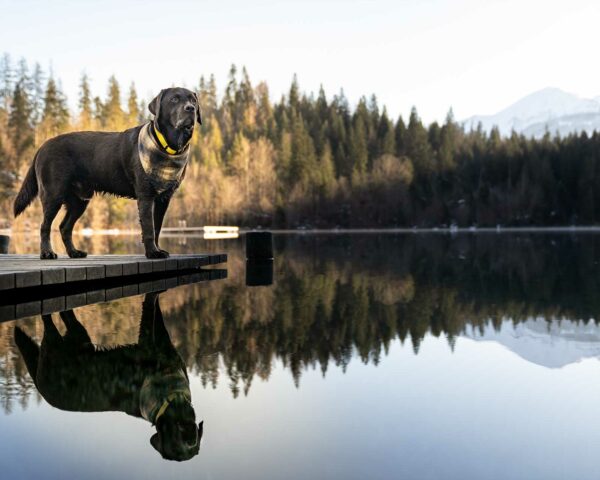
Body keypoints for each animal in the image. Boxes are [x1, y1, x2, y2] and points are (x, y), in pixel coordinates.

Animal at [12, 87, 202, 258]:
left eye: (193, 100)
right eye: (174, 99)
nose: (190, 109)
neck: (167, 147)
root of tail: (42, 146)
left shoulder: (163, 199)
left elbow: (157, 227)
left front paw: (157, 249)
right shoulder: (146, 196)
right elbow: (149, 228)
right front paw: (152, 253)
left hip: (79, 201)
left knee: (64, 227)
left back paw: (74, 252)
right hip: (53, 195)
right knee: (45, 226)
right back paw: (47, 253)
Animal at [12, 292, 202, 462]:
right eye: (176, 439)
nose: (191, 439)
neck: (172, 391)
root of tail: (41, 388)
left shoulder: (164, 344)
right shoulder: (147, 342)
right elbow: (151, 306)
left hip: (80, 337)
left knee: (66, 315)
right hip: (55, 345)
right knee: (48, 320)